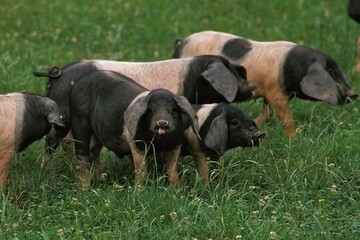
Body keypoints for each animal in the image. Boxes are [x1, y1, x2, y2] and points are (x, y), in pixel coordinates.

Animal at [68, 69, 200, 188]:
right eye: (150, 110)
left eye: (173, 109)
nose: (162, 123)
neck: (159, 144)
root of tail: (78, 83)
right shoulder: (137, 144)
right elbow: (142, 171)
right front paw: (140, 192)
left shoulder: (176, 144)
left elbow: (172, 169)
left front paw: (177, 188)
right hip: (79, 120)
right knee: (83, 155)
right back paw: (84, 188)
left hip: (98, 132)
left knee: (94, 151)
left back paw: (101, 180)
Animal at [172, 31, 358, 138]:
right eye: (331, 72)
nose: (354, 94)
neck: (291, 68)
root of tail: (181, 43)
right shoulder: (276, 92)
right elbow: (286, 118)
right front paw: (294, 140)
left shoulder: (270, 92)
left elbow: (267, 113)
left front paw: (256, 122)